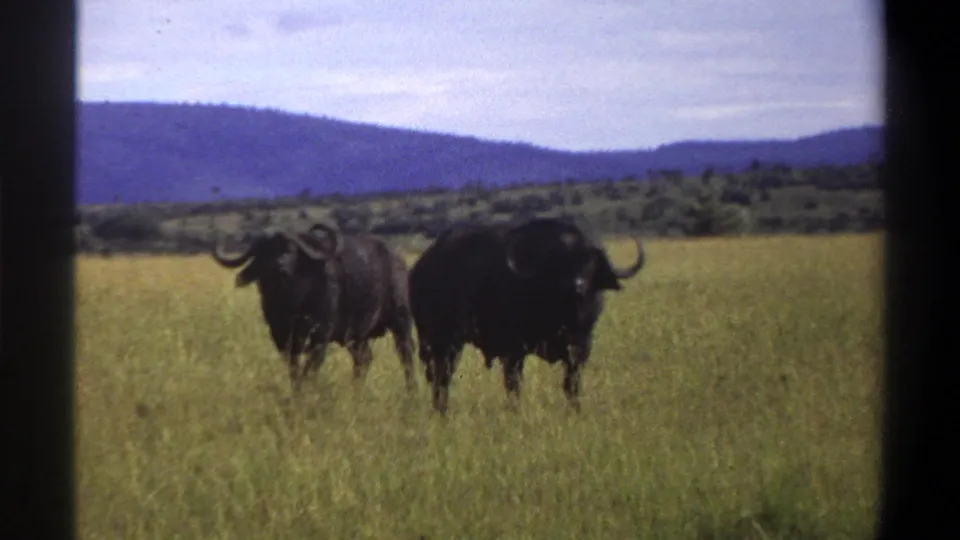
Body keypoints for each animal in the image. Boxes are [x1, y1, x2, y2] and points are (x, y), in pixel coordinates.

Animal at [211, 222, 417, 393]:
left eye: (292, 250)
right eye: (264, 252)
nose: (279, 266)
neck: (291, 304)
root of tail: (398, 260)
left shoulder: (321, 336)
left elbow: (309, 369)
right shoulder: (282, 337)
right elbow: (294, 369)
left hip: (401, 321)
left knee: (406, 355)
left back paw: (411, 390)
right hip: (355, 337)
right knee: (364, 359)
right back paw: (357, 390)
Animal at [409, 217, 647, 414]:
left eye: (590, 261)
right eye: (560, 261)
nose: (576, 286)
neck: (563, 314)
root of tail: (421, 268)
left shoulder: (581, 348)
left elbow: (572, 384)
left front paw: (575, 410)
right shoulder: (513, 351)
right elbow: (513, 384)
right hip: (443, 342)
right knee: (441, 377)